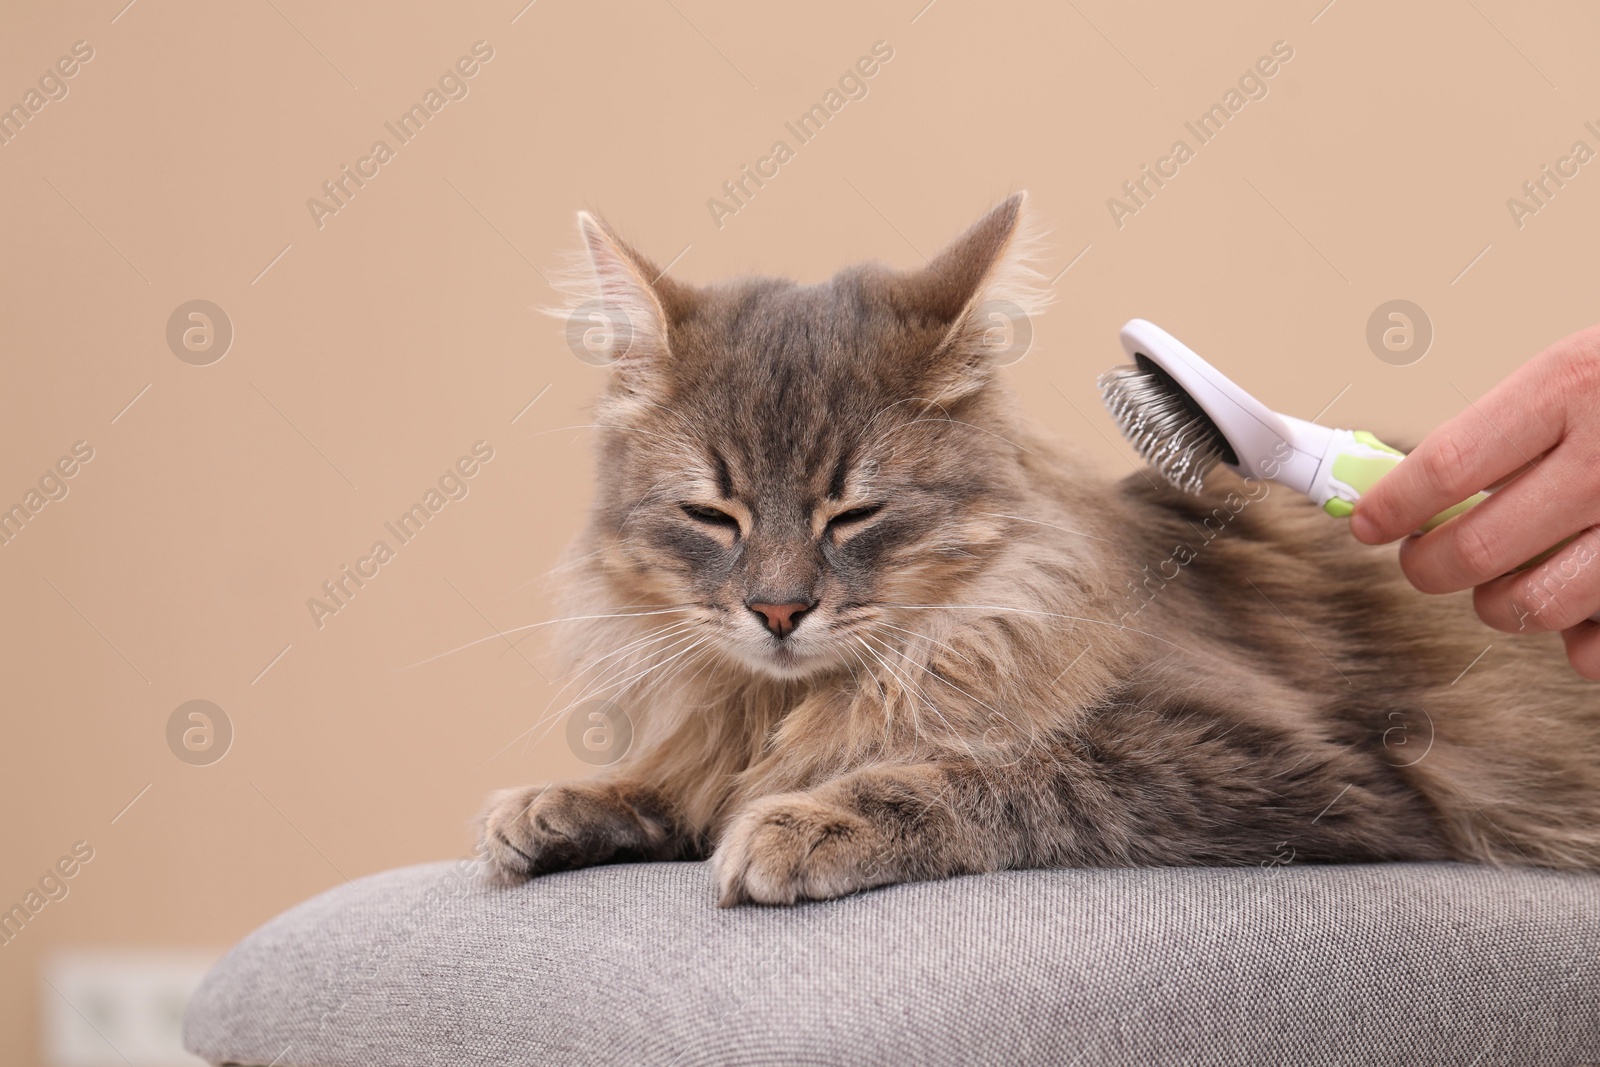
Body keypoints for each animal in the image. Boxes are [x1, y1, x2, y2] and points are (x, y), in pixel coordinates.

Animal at [476, 195, 1600, 908]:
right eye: (714, 517)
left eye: (855, 514)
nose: (780, 610)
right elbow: (678, 779)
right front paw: (557, 806)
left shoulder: (1298, 768)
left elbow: (1000, 768)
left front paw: (802, 821)